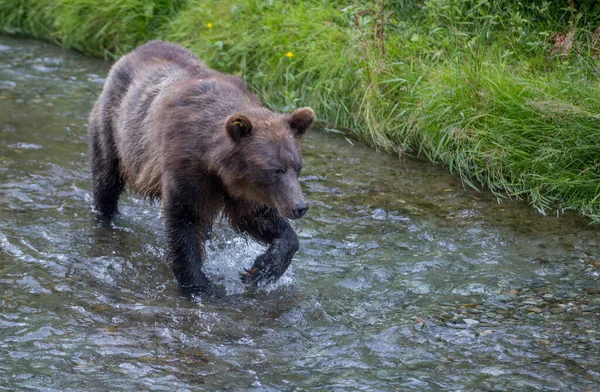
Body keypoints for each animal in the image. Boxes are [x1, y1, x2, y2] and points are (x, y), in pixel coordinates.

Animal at [89, 41, 316, 292]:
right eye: (275, 170)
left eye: (298, 168)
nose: (299, 207)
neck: (218, 167)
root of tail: (136, 50)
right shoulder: (187, 166)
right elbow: (183, 221)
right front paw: (199, 284)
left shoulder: (242, 189)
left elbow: (257, 217)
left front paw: (264, 268)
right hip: (116, 127)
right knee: (106, 176)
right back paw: (107, 215)